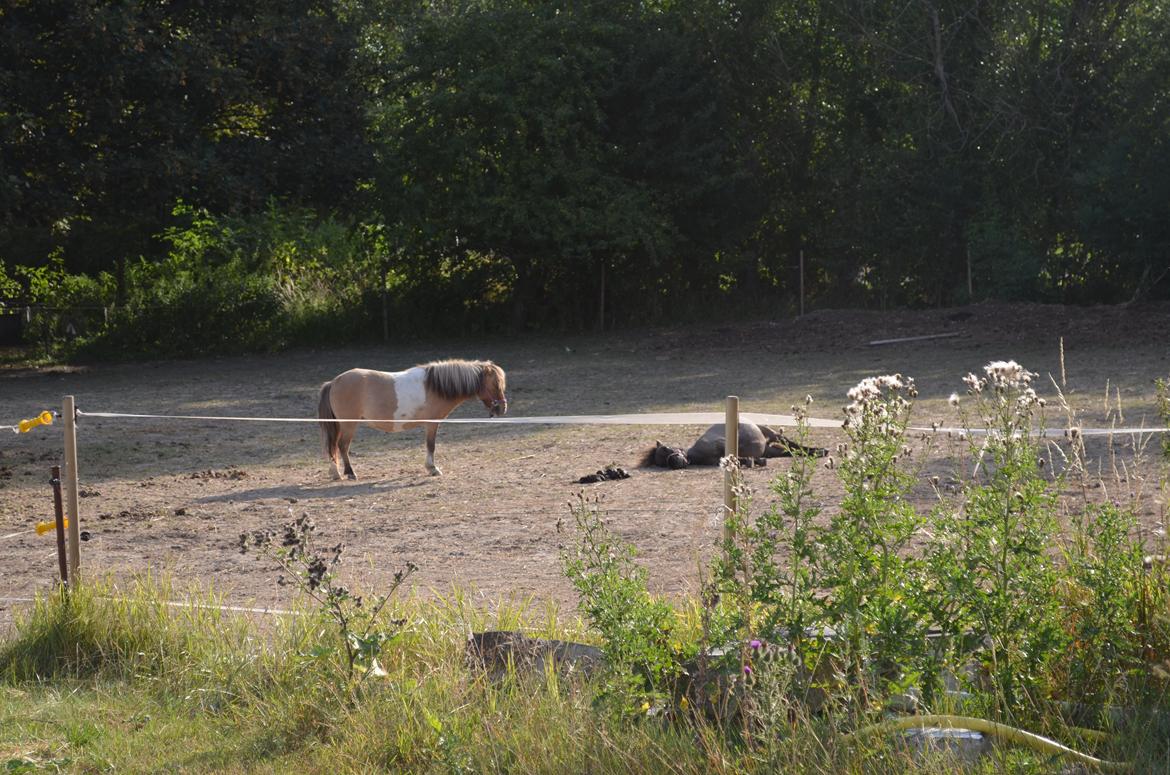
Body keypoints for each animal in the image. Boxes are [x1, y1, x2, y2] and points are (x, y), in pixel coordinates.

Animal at [320, 360, 507, 479]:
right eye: (495, 384)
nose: (502, 408)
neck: (435, 386)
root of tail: (334, 382)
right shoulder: (432, 424)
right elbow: (431, 445)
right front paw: (432, 469)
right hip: (348, 425)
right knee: (342, 446)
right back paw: (350, 473)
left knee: (334, 447)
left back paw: (335, 473)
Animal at [645, 421, 828, 470]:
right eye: (662, 463)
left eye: (666, 448)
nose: (673, 461)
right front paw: (754, 461)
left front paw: (753, 462)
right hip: (773, 449)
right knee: (791, 451)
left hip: (773, 435)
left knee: (794, 444)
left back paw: (821, 450)